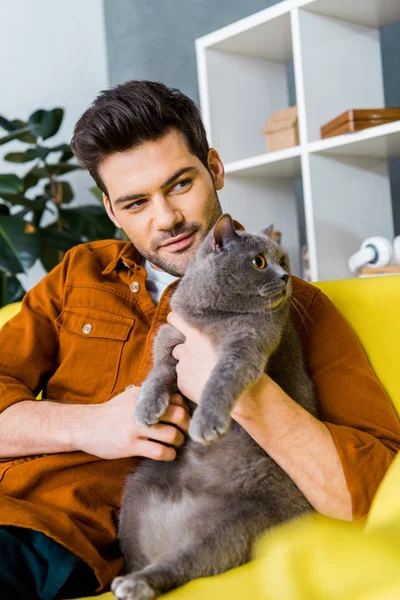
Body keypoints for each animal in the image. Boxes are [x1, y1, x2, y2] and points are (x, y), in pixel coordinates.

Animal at [111, 213, 318, 596]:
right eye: (258, 262)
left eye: (282, 262)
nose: (284, 276)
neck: (213, 315)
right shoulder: (171, 337)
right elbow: (159, 372)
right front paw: (147, 409)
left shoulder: (247, 343)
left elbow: (220, 379)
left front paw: (205, 423)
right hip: (135, 490)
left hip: (237, 522)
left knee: (185, 562)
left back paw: (136, 585)